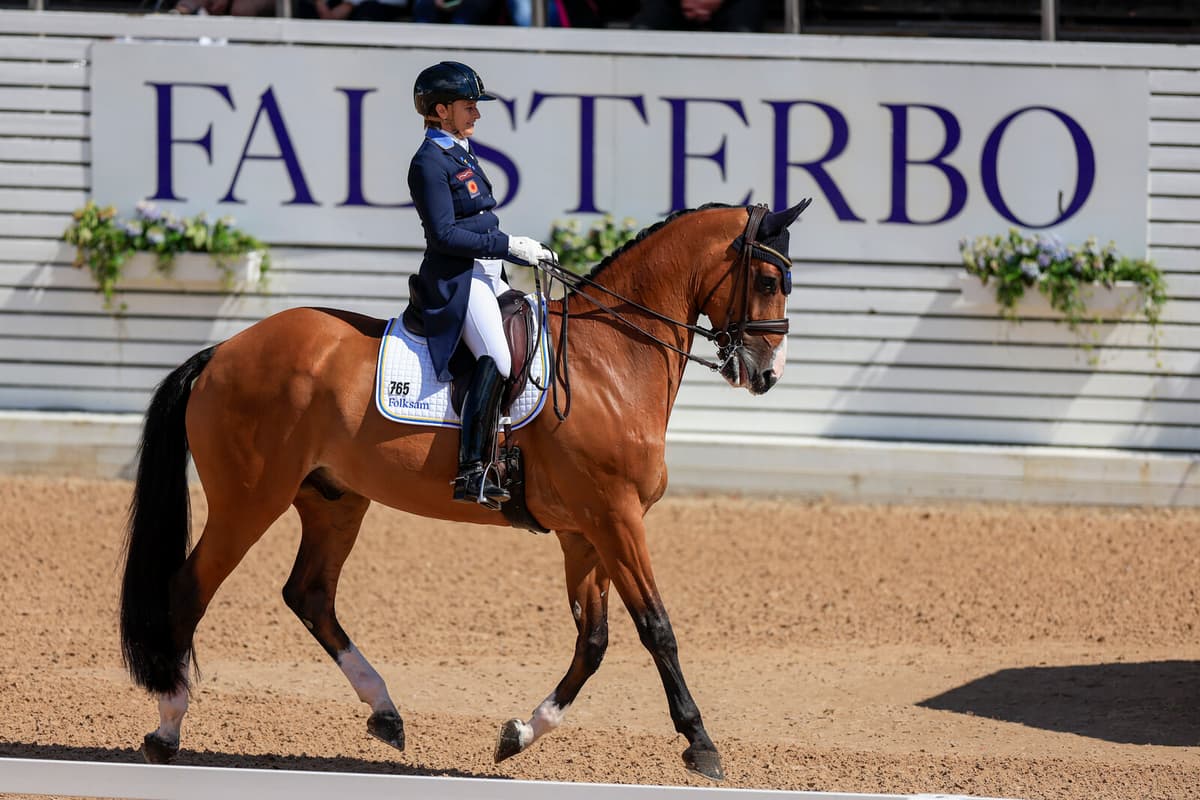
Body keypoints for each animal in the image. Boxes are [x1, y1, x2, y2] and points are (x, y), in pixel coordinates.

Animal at [118, 199, 811, 781]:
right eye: (768, 281)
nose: (768, 375)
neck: (611, 359)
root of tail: (222, 352)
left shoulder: (584, 532)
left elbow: (593, 641)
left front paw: (520, 733)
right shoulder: (615, 519)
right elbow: (656, 627)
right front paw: (701, 744)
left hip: (333, 500)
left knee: (309, 594)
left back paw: (385, 712)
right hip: (248, 500)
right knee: (190, 590)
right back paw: (168, 728)